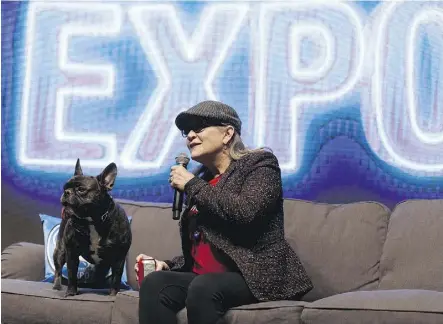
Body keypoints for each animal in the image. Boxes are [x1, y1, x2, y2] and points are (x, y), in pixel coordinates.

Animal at [52, 159, 131, 296]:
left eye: (81, 189)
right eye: (64, 187)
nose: (66, 192)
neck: (91, 221)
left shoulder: (119, 257)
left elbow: (116, 276)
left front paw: (113, 294)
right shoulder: (71, 252)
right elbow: (72, 273)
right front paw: (71, 292)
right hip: (60, 250)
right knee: (58, 270)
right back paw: (57, 286)